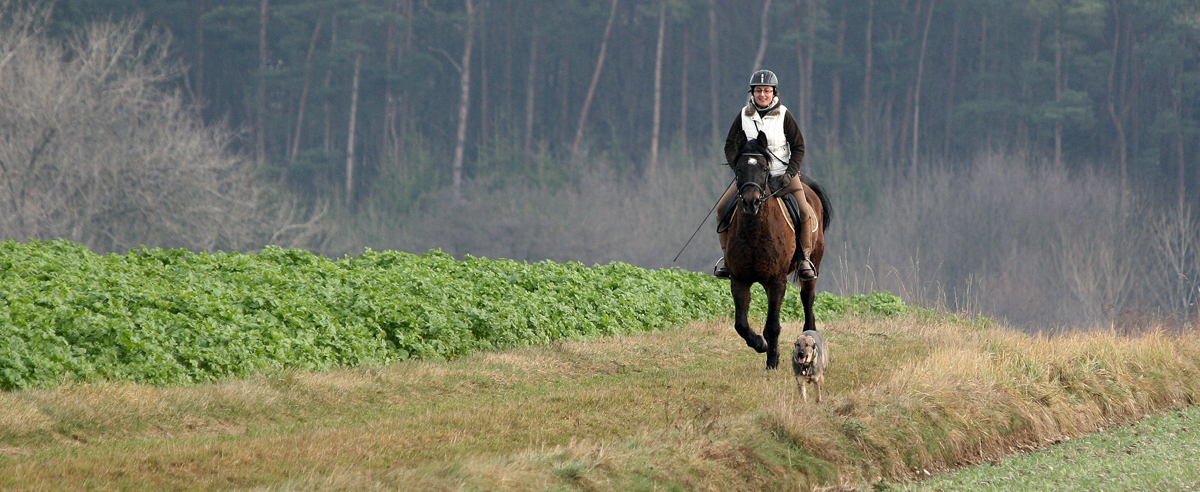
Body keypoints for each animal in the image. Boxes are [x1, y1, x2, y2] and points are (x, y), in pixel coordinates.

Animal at [715, 139, 830, 369]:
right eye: (739, 169)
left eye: (765, 169)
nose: (751, 202)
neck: (754, 234)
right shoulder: (740, 280)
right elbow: (741, 324)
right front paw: (761, 344)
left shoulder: (777, 280)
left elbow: (773, 325)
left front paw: (772, 361)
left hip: (814, 260)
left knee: (807, 297)